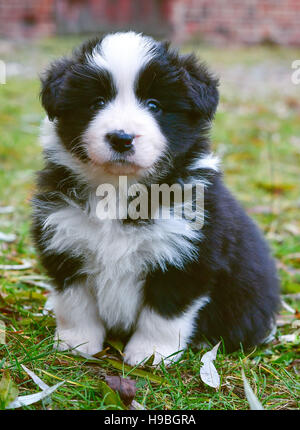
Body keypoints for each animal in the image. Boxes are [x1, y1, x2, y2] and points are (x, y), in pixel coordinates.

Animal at [31, 31, 280, 364]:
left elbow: (163, 315)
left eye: (154, 105)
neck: (118, 189)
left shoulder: (186, 256)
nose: (121, 138)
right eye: (97, 102)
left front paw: (149, 355)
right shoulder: (65, 243)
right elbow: (76, 305)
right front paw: (76, 345)